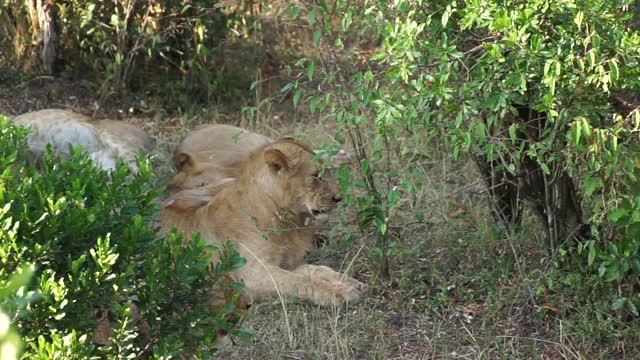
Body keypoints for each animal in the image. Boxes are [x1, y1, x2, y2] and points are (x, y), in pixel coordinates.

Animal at [161, 138, 370, 306]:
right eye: (316, 175)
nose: (339, 198)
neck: (289, 223)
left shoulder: (289, 264)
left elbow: (319, 269)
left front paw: (351, 282)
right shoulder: (252, 276)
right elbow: (300, 282)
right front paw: (341, 293)